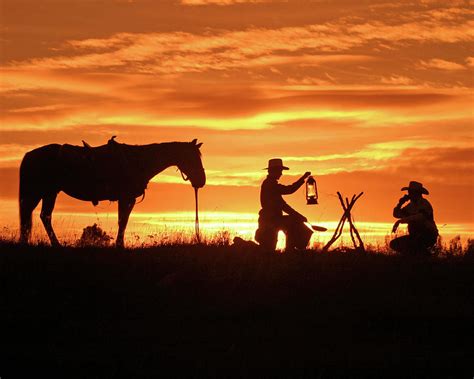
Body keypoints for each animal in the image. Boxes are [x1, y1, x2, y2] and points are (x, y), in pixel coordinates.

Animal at [18, 138, 206, 248]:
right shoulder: (126, 198)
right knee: (38, 216)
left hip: (49, 193)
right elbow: (122, 221)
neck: (138, 161)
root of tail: (29, 155)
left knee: (42, 216)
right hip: (39, 192)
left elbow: (123, 221)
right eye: (193, 157)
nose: (201, 181)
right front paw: (119, 245)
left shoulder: (127, 199)